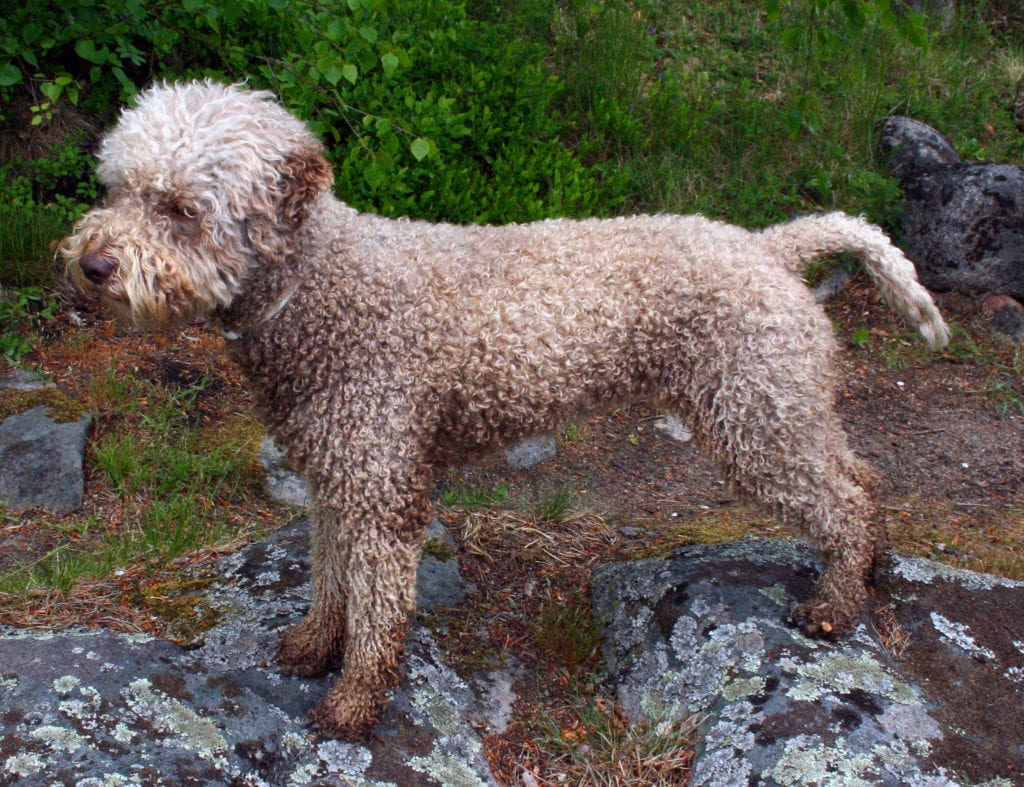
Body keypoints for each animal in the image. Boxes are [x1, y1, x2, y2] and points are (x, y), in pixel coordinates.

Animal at [64, 82, 950, 740]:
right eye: (116, 188)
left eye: (180, 208)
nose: (92, 264)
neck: (321, 290)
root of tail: (771, 247)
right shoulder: (335, 473)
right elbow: (327, 576)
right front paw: (313, 645)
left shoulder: (383, 486)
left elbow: (377, 608)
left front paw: (353, 704)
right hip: (779, 407)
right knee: (862, 475)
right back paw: (870, 568)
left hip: (755, 414)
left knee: (844, 494)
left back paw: (836, 601)